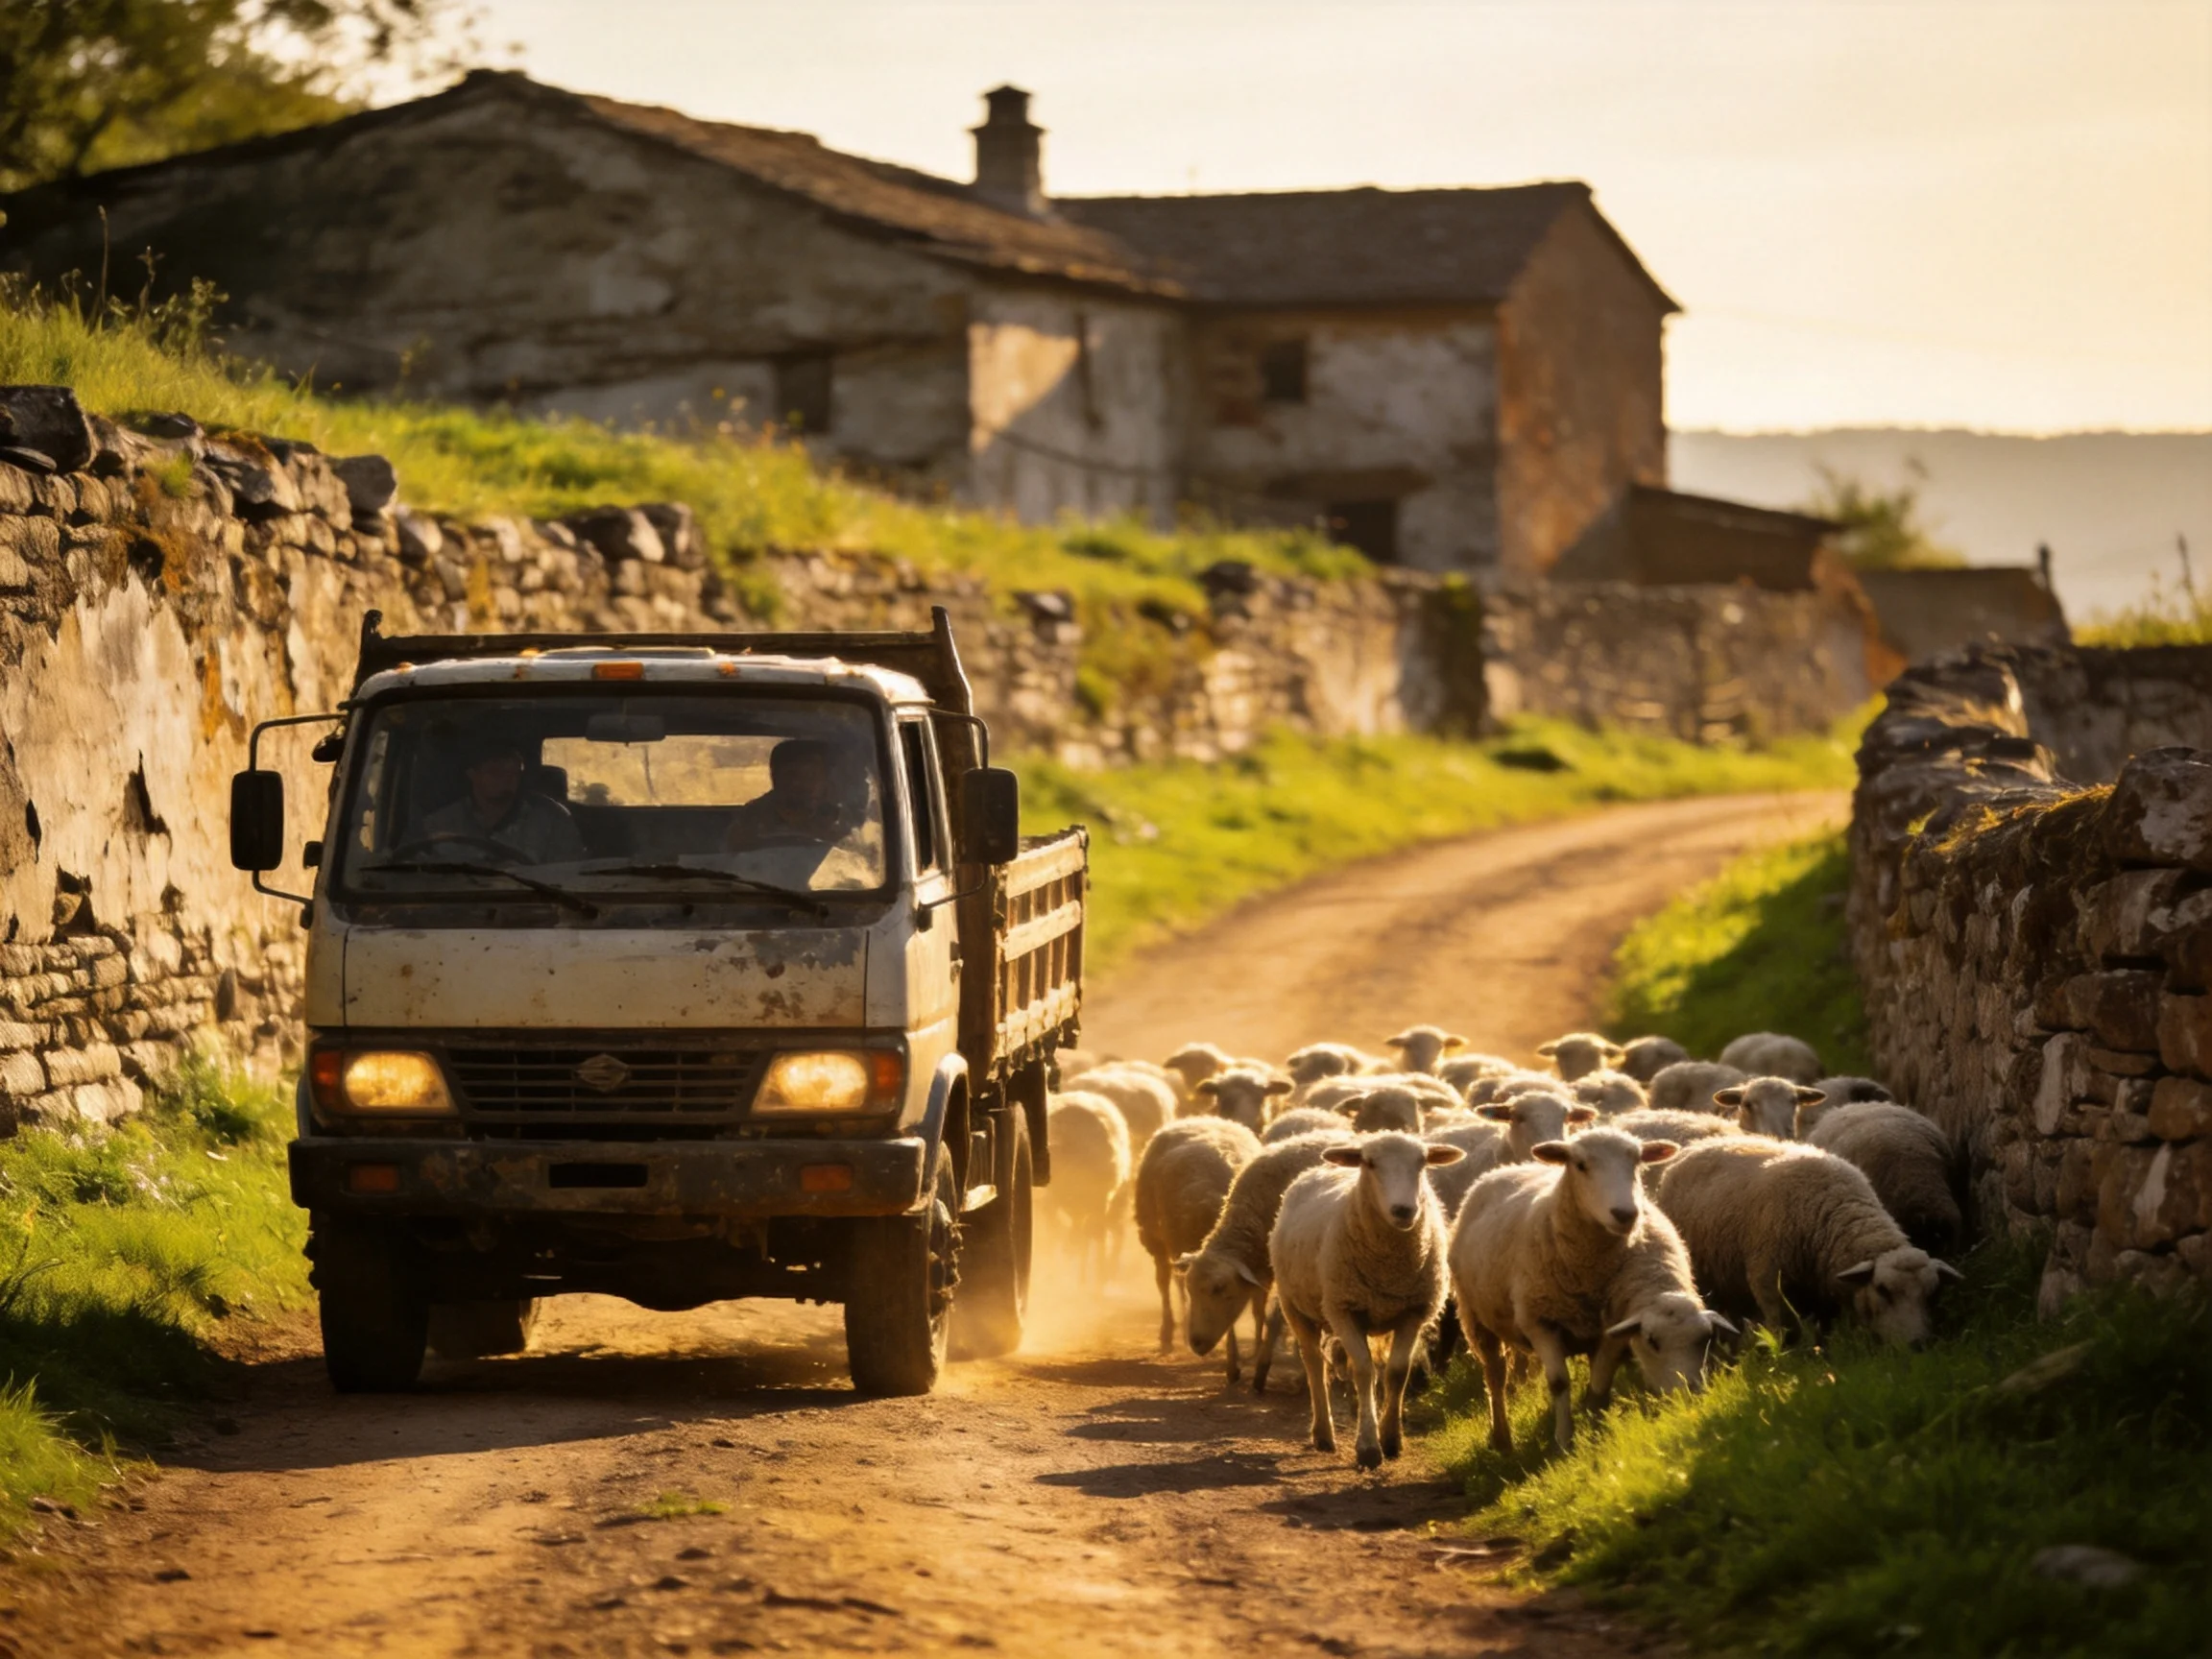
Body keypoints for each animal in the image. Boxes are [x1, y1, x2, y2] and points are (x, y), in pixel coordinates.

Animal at [1176, 1131, 1339, 1393]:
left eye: (1219, 1288)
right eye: (1189, 1288)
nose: (1196, 1343)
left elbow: (1273, 1322)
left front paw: (1261, 1371)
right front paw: (1233, 1367)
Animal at [1269, 1132, 1463, 1467]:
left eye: (1422, 1162)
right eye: (1370, 1163)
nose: (1404, 1210)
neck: (1389, 1269)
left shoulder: (1414, 1311)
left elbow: (1397, 1372)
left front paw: (1392, 1439)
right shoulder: (1344, 1309)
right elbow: (1363, 1370)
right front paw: (1369, 1447)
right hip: (1295, 1306)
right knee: (1314, 1363)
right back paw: (1323, 1433)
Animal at [1448, 1127, 1704, 1451]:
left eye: (1637, 1163)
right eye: (1580, 1165)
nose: (1625, 1214)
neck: (1588, 1270)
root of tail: (1507, 1168)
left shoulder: (1612, 1329)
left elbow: (1600, 1384)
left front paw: (1594, 1436)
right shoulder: (1540, 1323)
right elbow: (1559, 1383)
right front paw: (1564, 1441)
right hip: (1476, 1317)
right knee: (1495, 1375)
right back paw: (1502, 1438)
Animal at [1653, 1138, 1962, 1345]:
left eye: (1933, 1293)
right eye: (1883, 1290)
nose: (1920, 1344)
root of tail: (1696, 1145)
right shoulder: (1768, 1282)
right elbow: (1785, 1330)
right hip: (1706, 1276)